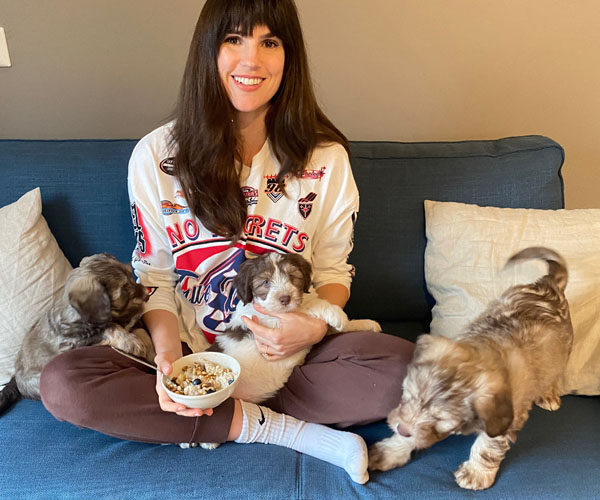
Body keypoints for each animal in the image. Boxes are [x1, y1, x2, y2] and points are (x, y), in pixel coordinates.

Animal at [0, 253, 152, 415]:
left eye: (131, 276)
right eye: (124, 289)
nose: (147, 294)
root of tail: (15, 379)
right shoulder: (76, 342)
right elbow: (110, 327)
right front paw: (131, 342)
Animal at [368, 247, 573, 490]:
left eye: (440, 419)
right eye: (407, 395)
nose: (401, 428)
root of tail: (548, 285)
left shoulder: (504, 420)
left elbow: (487, 447)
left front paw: (476, 473)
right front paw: (390, 450)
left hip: (563, 351)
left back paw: (548, 394)